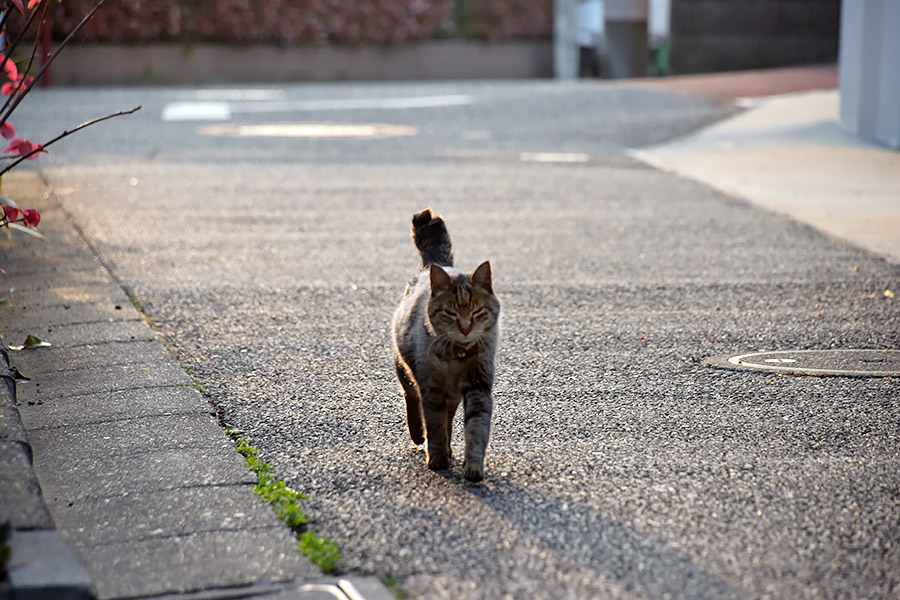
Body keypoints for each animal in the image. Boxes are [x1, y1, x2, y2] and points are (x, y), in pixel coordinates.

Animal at [390, 209, 500, 480]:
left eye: (477, 312)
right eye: (451, 313)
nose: (465, 328)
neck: (456, 357)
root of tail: (434, 265)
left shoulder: (479, 386)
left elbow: (476, 428)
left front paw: (473, 466)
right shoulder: (431, 389)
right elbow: (435, 425)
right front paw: (437, 457)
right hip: (404, 366)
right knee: (410, 395)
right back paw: (418, 434)